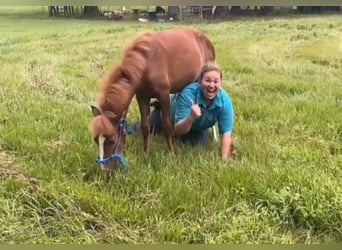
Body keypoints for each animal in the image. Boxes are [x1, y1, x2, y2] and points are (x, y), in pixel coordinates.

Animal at [89, 28, 215, 170]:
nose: (105, 170)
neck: (146, 64)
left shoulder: (164, 95)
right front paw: (146, 154)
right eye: (95, 140)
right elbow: (145, 126)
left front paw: (172, 154)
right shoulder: (141, 97)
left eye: (112, 140)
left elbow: (167, 126)